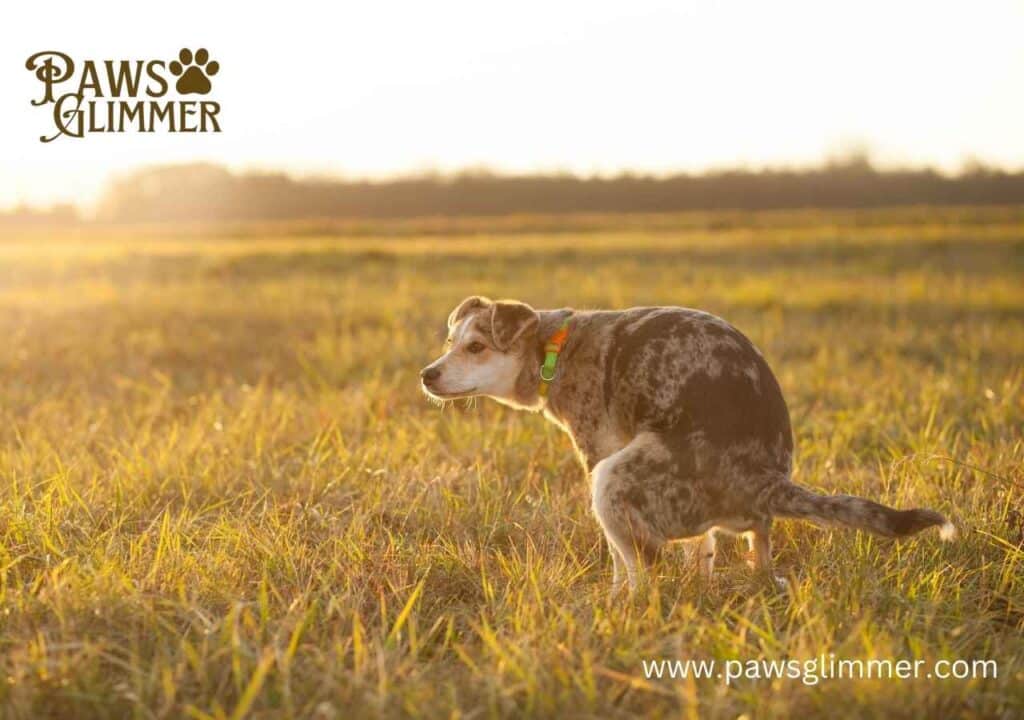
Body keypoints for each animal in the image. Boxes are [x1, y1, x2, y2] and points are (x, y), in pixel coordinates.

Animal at [417, 294, 950, 594]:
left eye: (476, 347)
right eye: (449, 343)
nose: (427, 374)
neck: (554, 347)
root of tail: (765, 480)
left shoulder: (598, 452)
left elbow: (620, 561)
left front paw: (614, 599)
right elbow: (703, 549)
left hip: (613, 479)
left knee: (645, 568)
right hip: (739, 520)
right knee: (757, 550)